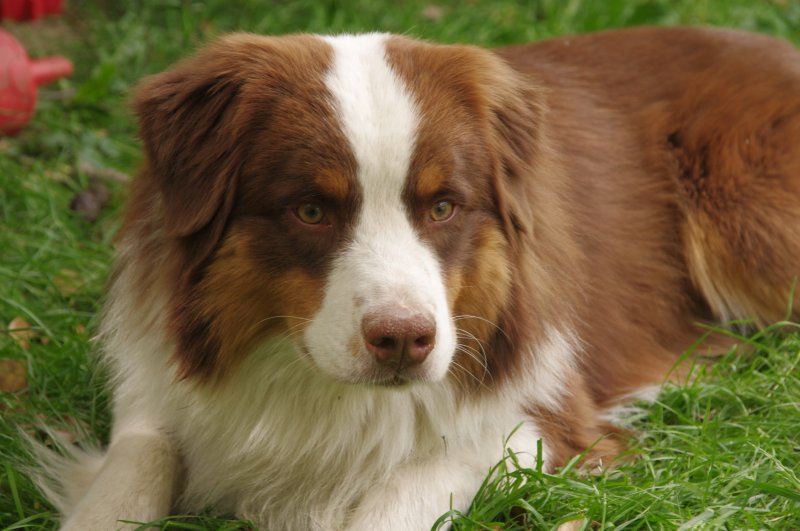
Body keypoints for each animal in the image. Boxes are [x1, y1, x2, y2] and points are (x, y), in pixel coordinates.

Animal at [39, 26, 800, 531]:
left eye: (443, 206)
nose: (405, 340)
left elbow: (395, 498)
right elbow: (135, 467)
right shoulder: (157, 391)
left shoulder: (540, 416)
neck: (309, 385)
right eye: (310, 209)